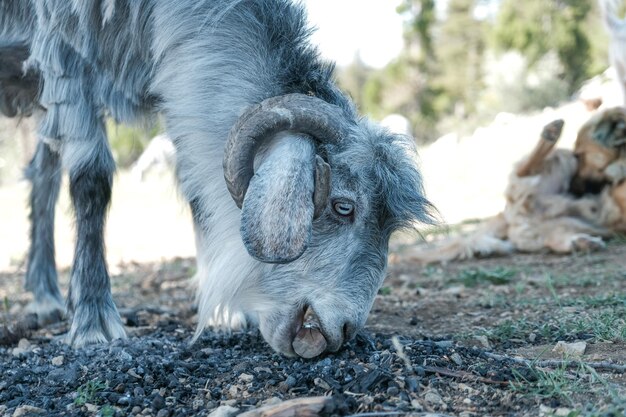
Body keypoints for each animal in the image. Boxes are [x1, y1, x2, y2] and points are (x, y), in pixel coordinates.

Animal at [0, 0, 432, 358]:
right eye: (343, 207)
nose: (343, 331)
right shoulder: (66, 53)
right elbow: (92, 181)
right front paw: (94, 321)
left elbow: (196, 187)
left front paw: (226, 314)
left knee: (42, 174)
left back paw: (45, 293)